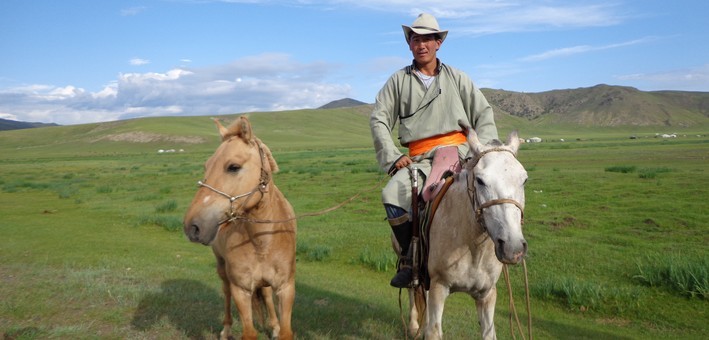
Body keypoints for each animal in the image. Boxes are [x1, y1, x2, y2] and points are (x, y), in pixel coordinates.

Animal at [184, 115, 294, 338]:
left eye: (233, 167)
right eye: (206, 166)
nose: (192, 226)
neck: (262, 242)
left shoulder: (286, 288)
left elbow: (285, 331)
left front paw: (277, 328)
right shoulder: (241, 290)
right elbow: (249, 333)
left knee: (266, 295)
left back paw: (273, 325)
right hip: (222, 270)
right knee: (226, 294)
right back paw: (226, 330)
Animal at [406, 125, 528, 340]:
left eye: (524, 180)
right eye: (479, 180)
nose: (513, 248)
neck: (473, 247)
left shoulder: (487, 295)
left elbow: (489, 333)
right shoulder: (439, 287)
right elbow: (434, 331)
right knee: (412, 290)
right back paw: (413, 326)